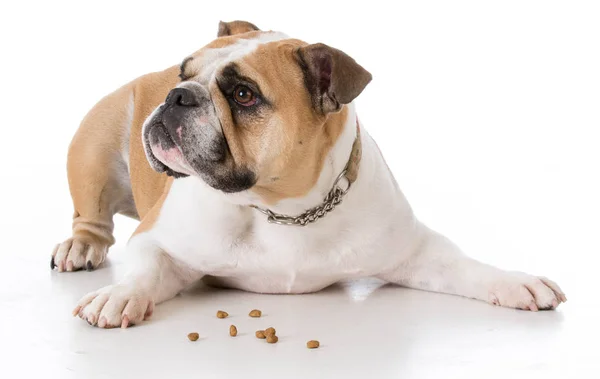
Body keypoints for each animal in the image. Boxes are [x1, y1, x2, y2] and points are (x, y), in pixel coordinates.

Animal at [52, 21, 568, 330]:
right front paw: (119, 295)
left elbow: (465, 265)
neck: (281, 208)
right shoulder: (159, 240)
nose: (177, 95)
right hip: (94, 145)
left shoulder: (413, 250)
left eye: (243, 95)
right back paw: (80, 247)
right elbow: (145, 268)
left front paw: (515, 282)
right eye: (183, 73)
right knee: (91, 219)